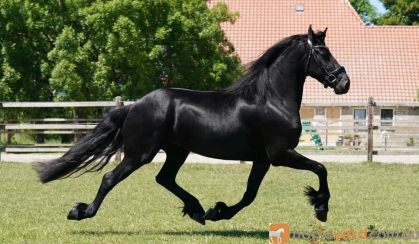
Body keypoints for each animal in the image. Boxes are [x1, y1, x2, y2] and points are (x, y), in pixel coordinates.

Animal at [36, 26, 352, 225]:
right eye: (322, 52)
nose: (344, 83)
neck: (271, 99)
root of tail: (134, 106)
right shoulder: (280, 154)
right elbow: (321, 168)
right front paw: (321, 207)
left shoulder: (263, 159)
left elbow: (249, 195)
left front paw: (218, 212)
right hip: (141, 153)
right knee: (110, 178)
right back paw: (81, 212)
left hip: (177, 151)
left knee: (164, 178)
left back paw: (198, 211)